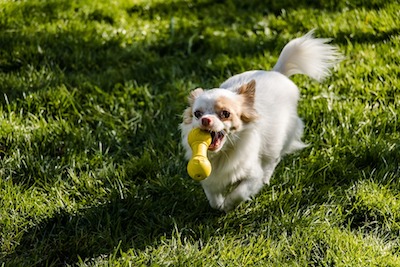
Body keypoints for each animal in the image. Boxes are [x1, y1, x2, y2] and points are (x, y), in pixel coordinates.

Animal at [181, 30, 340, 211]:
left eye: (225, 113)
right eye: (197, 114)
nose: (205, 120)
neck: (223, 153)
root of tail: (276, 72)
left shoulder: (252, 175)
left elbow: (239, 192)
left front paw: (228, 205)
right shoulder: (210, 179)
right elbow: (213, 199)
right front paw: (220, 205)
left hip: (279, 141)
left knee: (272, 161)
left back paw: (266, 178)